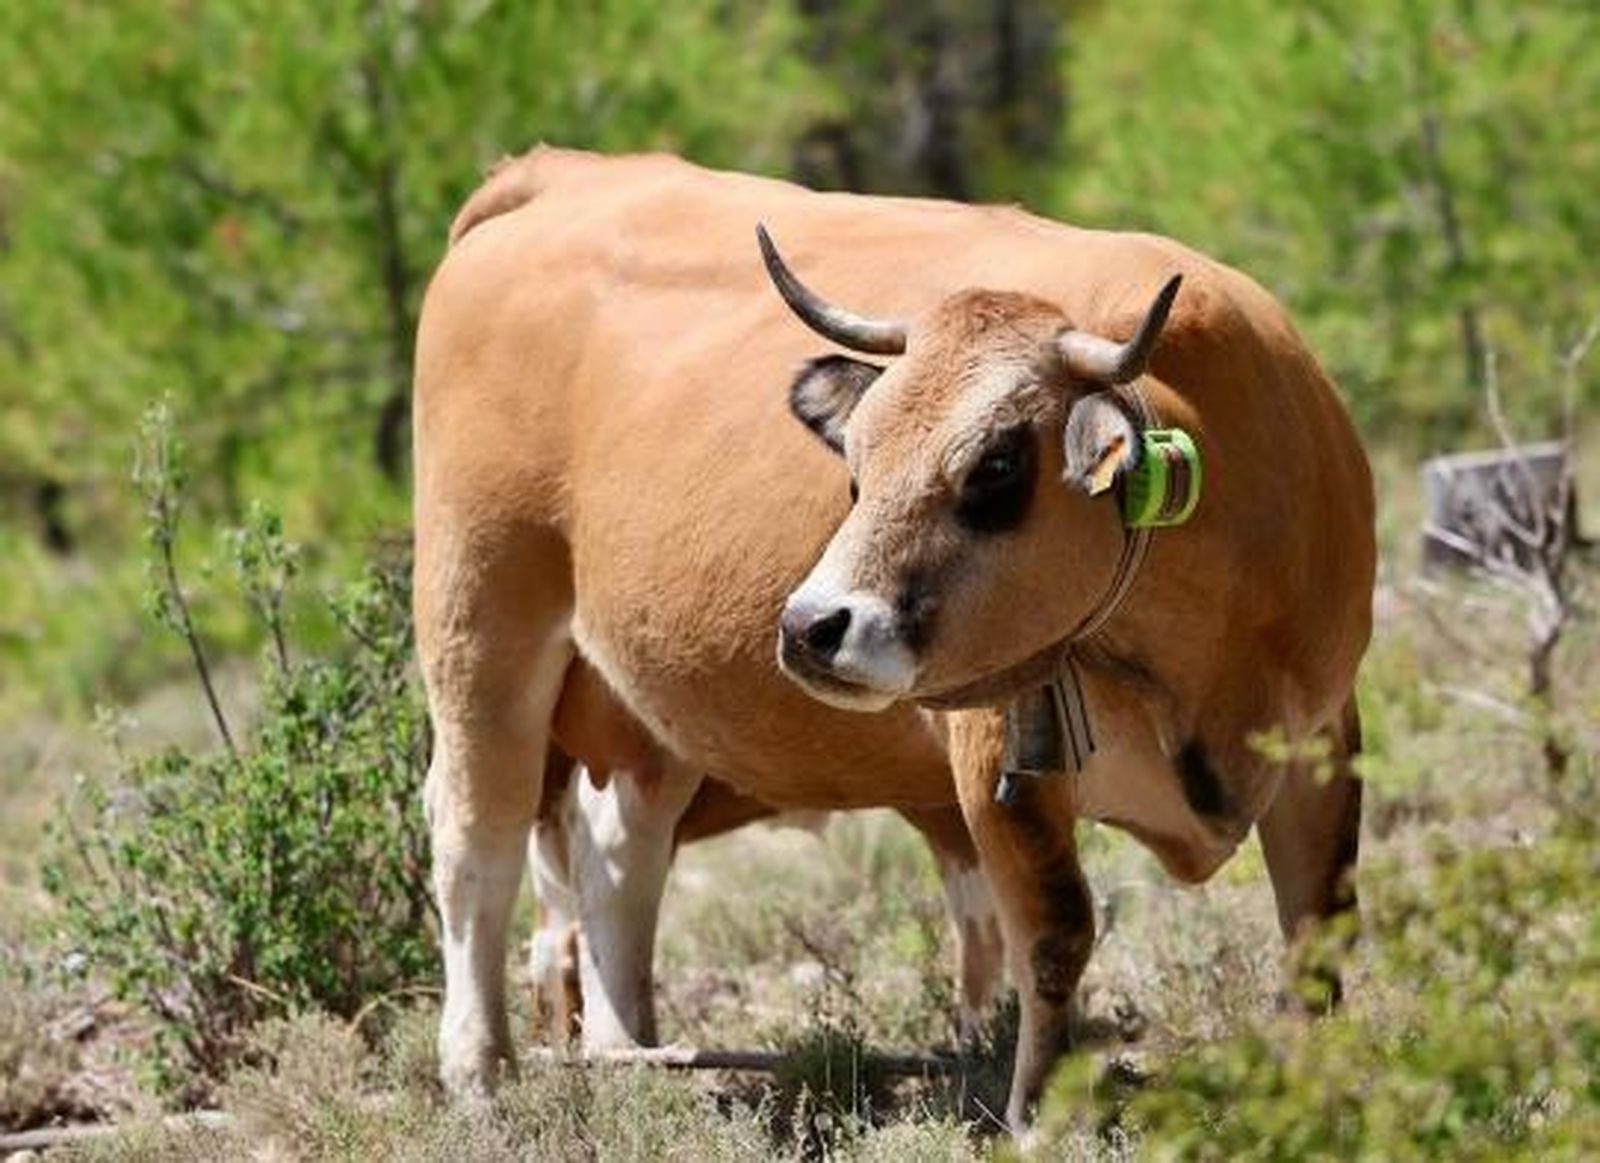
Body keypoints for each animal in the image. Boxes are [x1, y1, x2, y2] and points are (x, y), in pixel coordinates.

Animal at [413, 146, 1374, 1131]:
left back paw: (632, 1055)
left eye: (996, 464)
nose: (810, 626)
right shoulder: (998, 764)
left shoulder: (1323, 734)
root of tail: (562, 175)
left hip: (640, 709)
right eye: (857, 459)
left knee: (620, 848)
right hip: (480, 620)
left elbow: (1318, 925)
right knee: (475, 835)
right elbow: (1056, 933)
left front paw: (1317, 1092)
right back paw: (479, 1070)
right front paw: (1041, 1114)